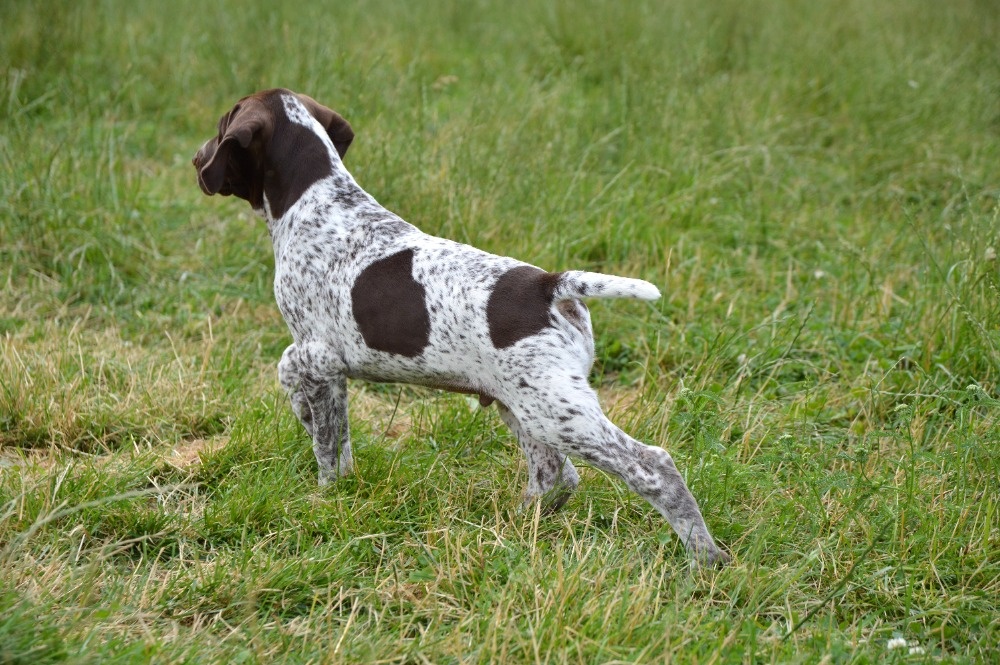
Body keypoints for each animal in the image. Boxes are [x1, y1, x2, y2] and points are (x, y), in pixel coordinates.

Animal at [193, 89, 728, 564]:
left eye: (220, 127)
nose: (197, 159)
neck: (318, 200)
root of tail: (551, 285)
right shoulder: (327, 366)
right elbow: (325, 422)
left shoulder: (321, 355)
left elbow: (319, 428)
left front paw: (325, 491)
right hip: (525, 403)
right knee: (556, 477)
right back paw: (512, 526)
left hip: (557, 411)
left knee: (652, 467)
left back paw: (705, 557)